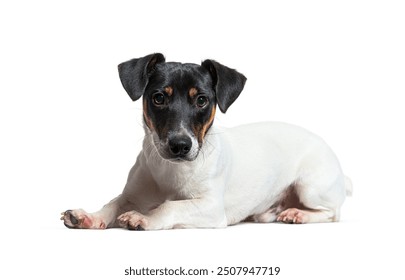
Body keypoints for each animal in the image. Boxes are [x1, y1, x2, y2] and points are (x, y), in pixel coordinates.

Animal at [60, 53, 350, 231]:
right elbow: (113, 203)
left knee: (332, 212)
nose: (180, 145)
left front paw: (144, 218)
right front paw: (89, 216)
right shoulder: (132, 194)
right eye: (158, 98)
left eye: (201, 100)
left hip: (311, 186)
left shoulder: (210, 207)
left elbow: (170, 206)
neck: (171, 172)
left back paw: (299, 214)